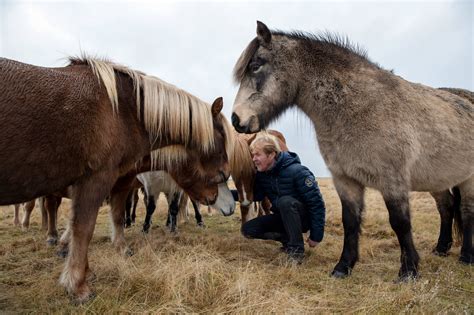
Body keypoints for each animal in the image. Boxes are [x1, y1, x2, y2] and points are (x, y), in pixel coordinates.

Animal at [0, 56, 235, 304]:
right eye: (221, 135)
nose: (226, 177)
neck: (122, 112)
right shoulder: (98, 180)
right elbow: (84, 228)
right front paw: (78, 284)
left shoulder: (115, 185)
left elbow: (109, 218)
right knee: (48, 207)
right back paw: (48, 235)